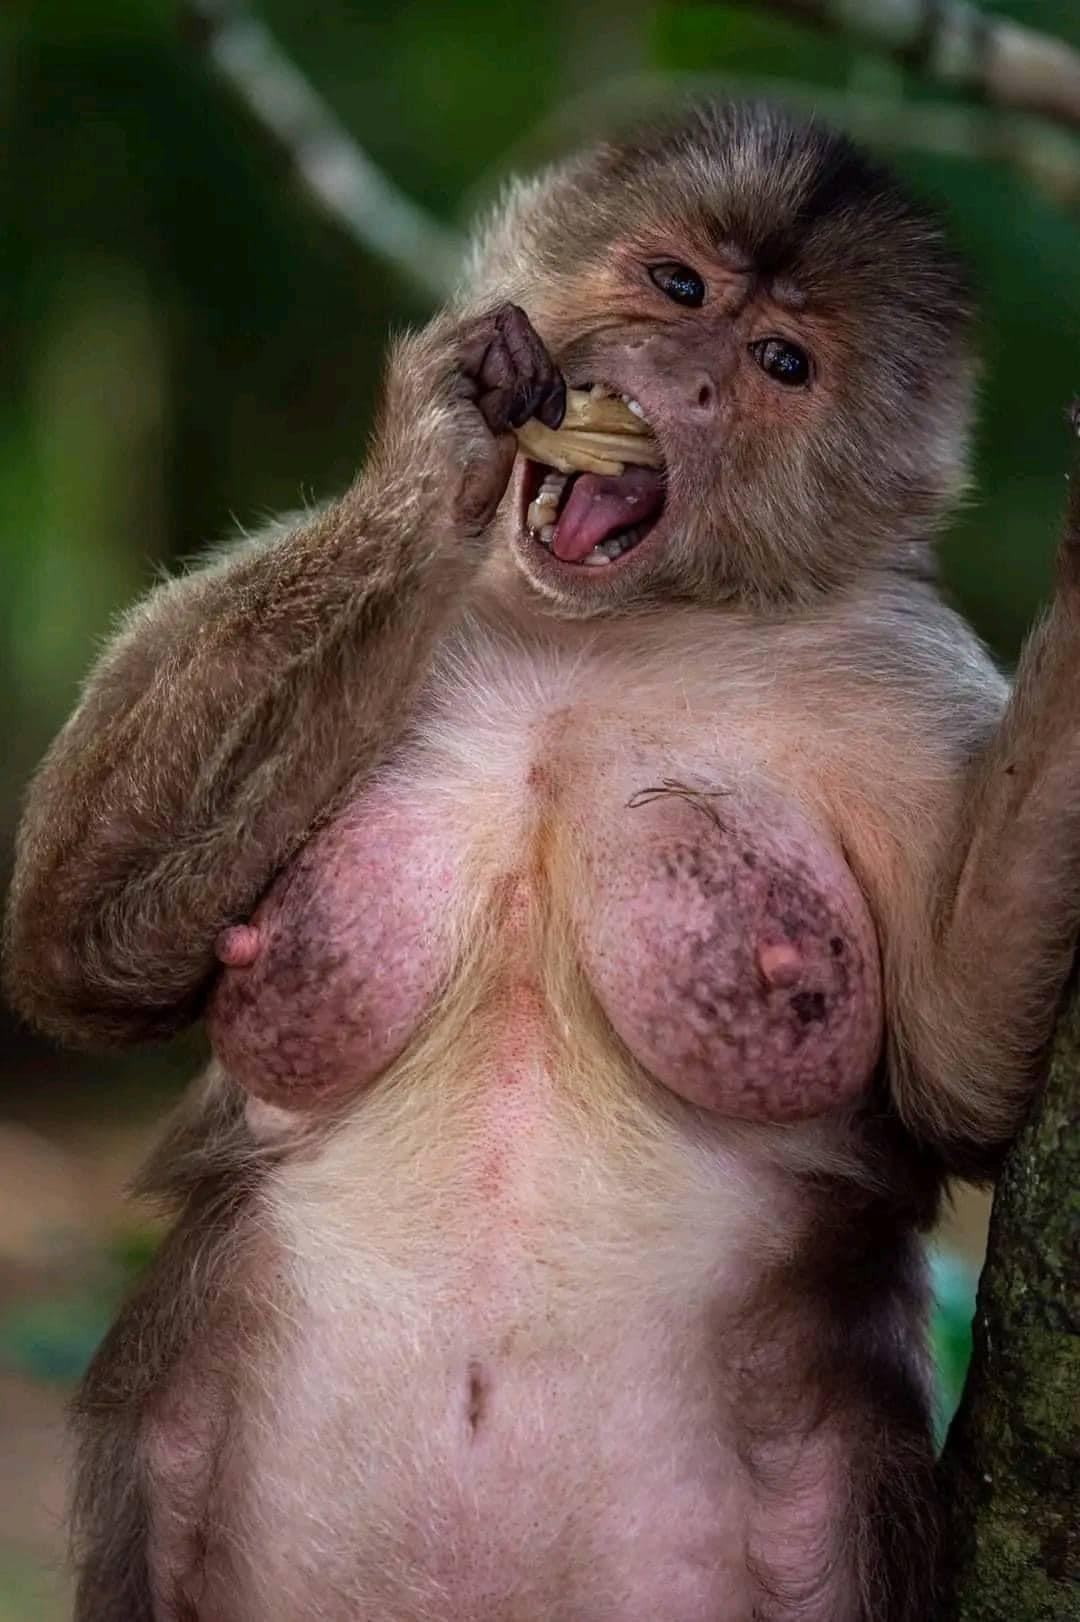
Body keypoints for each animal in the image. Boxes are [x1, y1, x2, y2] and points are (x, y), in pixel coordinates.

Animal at [4, 99, 1076, 1621]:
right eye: (679, 288)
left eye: (781, 363)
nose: (687, 382)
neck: (605, 625)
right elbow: (68, 950)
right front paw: (437, 444)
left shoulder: (906, 674)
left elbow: (960, 1076)